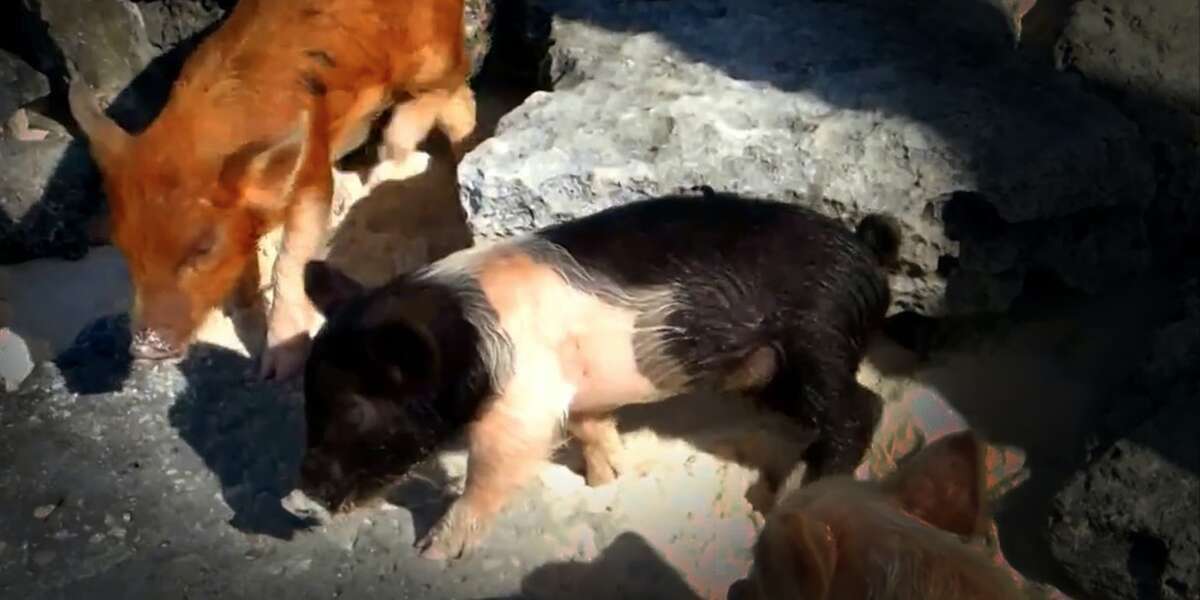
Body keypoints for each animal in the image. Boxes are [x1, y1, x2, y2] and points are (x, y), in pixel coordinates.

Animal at [68, 0, 477, 380]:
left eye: (203, 248)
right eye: (124, 249)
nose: (145, 349)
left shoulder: (312, 173)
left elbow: (290, 262)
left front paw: (275, 372)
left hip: (437, 54)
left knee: (453, 92)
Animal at [282, 191, 901, 559]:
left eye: (354, 407)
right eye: (308, 399)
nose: (297, 497)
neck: (471, 339)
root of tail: (865, 253)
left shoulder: (525, 403)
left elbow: (492, 468)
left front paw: (433, 552)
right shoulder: (576, 391)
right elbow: (591, 427)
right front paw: (607, 480)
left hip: (817, 342)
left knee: (859, 410)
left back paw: (797, 494)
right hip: (767, 372)